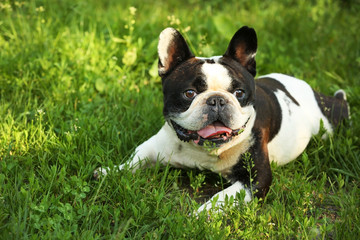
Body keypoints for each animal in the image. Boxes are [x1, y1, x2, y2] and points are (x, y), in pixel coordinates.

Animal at [95, 26, 348, 212]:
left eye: (239, 93)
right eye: (189, 93)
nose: (216, 100)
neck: (204, 151)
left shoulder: (256, 179)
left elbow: (221, 197)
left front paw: (199, 216)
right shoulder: (154, 146)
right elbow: (133, 161)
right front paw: (110, 171)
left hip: (329, 121)